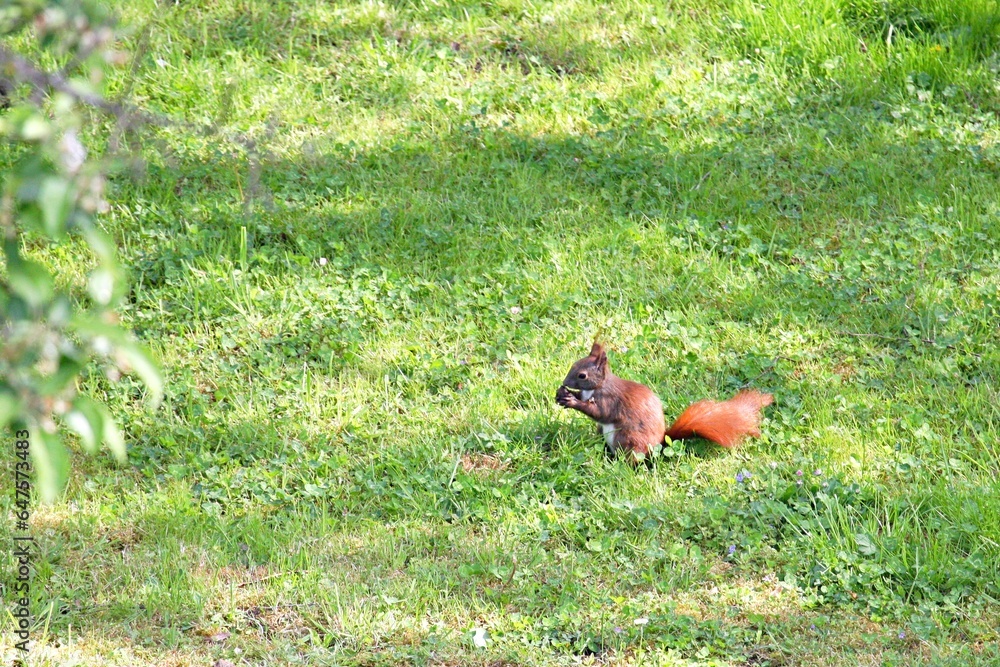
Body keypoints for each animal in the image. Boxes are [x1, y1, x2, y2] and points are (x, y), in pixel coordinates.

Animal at [555, 341, 773, 459]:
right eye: (574, 364)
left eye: (582, 375)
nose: (565, 382)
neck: (597, 387)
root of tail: (659, 444)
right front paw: (563, 394)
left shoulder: (609, 400)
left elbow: (599, 412)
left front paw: (573, 402)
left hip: (628, 439)